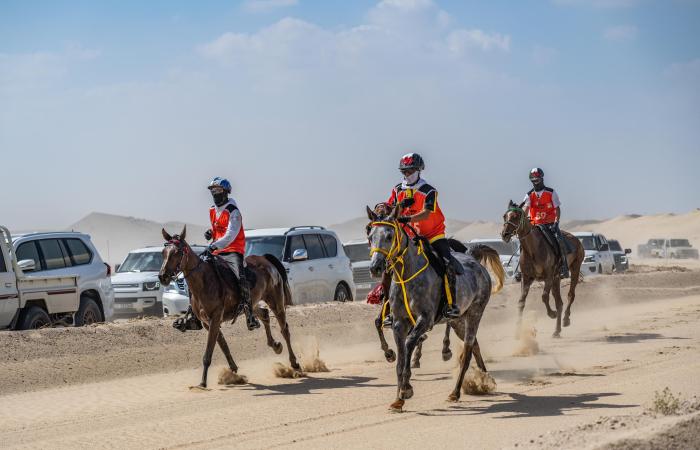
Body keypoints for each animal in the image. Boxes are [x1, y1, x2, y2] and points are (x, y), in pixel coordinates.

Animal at [159, 227, 300, 388]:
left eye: (177, 252)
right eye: (163, 252)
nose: (162, 276)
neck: (204, 281)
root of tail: (265, 259)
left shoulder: (215, 318)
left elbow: (208, 353)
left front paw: (202, 383)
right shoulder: (208, 323)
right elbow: (223, 345)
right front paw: (233, 371)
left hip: (276, 302)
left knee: (285, 329)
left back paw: (294, 363)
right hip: (252, 304)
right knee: (264, 315)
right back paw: (275, 345)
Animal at [366, 205, 504, 412]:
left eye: (389, 235)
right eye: (370, 235)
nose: (375, 267)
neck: (407, 275)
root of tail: (476, 263)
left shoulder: (425, 319)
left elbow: (409, 344)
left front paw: (406, 388)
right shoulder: (399, 323)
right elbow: (399, 360)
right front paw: (398, 399)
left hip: (475, 313)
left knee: (467, 352)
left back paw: (455, 392)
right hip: (457, 321)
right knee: (475, 346)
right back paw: (485, 378)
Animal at [504, 201, 584, 338]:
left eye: (515, 216)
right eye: (504, 216)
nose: (505, 234)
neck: (533, 249)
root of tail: (577, 241)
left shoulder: (548, 276)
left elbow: (544, 296)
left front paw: (552, 314)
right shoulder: (526, 278)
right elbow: (521, 302)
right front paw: (517, 332)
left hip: (574, 269)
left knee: (570, 295)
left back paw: (566, 319)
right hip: (556, 278)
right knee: (559, 302)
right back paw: (556, 331)